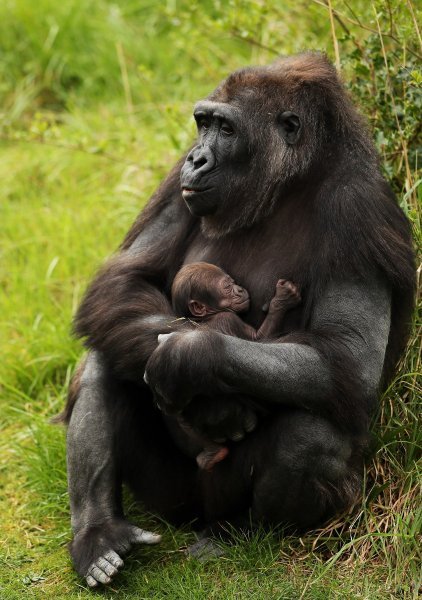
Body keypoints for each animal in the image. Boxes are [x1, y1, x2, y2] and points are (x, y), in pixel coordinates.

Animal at [171, 264, 300, 472]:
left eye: (233, 282)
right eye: (227, 287)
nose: (239, 289)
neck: (208, 316)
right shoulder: (229, 318)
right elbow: (259, 340)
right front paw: (282, 300)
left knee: (185, 420)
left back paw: (211, 452)